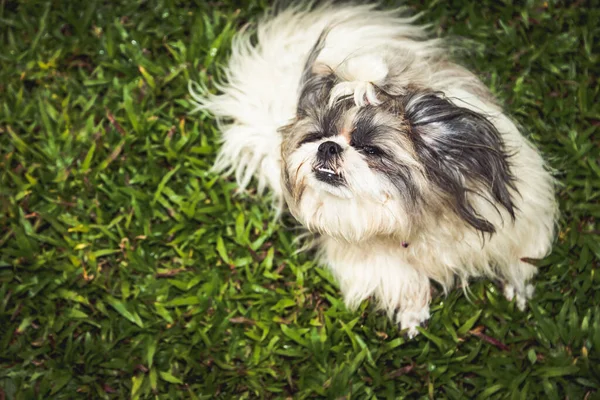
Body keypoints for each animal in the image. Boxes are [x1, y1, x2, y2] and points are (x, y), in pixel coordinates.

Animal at [189, 2, 556, 338]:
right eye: (316, 136)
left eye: (371, 150)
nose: (328, 147)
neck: (417, 218)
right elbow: (407, 282)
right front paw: (413, 316)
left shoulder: (520, 222)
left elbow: (520, 262)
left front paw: (519, 292)